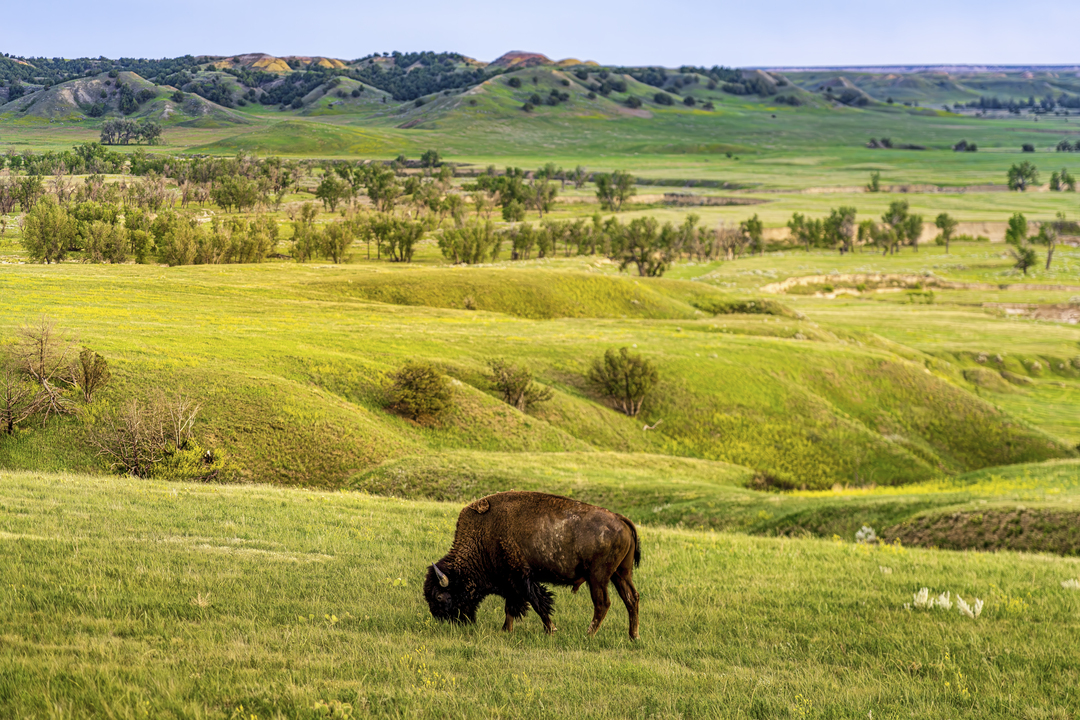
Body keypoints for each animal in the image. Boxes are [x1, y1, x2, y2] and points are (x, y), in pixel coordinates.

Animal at [424, 491, 640, 640]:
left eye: (439, 596)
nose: (442, 620)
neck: (483, 536)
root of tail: (621, 519)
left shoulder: (521, 578)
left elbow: (537, 603)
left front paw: (550, 630)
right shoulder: (510, 583)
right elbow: (511, 607)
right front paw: (506, 630)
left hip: (598, 578)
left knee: (603, 604)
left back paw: (588, 635)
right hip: (621, 574)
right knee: (632, 599)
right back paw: (633, 636)